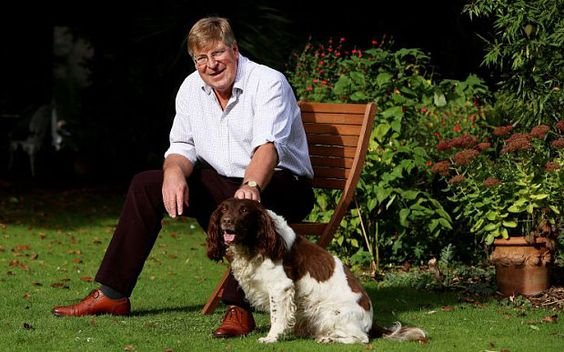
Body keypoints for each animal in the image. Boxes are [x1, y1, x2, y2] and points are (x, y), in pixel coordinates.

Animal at [208, 198, 428, 344]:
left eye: (244, 210)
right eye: (224, 209)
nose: (226, 221)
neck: (256, 243)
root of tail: (372, 320)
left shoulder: (280, 287)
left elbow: (276, 316)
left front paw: (271, 338)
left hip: (330, 312)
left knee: (362, 338)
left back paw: (328, 338)